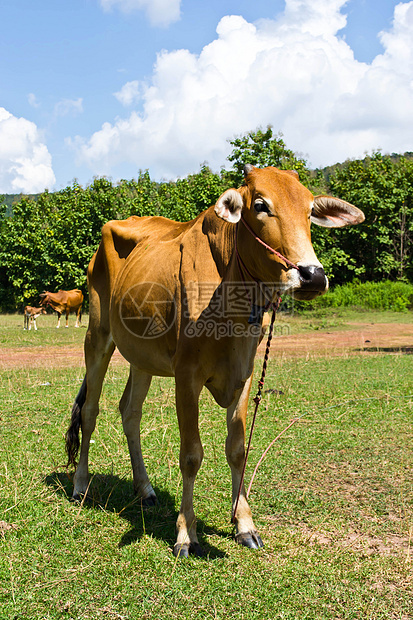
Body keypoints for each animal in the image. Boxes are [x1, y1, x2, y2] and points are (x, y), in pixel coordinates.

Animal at [65, 165, 364, 556]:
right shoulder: (186, 376)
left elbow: (237, 449)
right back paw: (80, 485)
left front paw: (244, 524)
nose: (312, 276)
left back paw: (144, 488)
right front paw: (185, 534)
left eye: (310, 209)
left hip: (142, 357)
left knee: (130, 412)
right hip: (98, 337)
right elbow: (191, 454)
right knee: (90, 411)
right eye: (260, 205)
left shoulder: (245, 374)